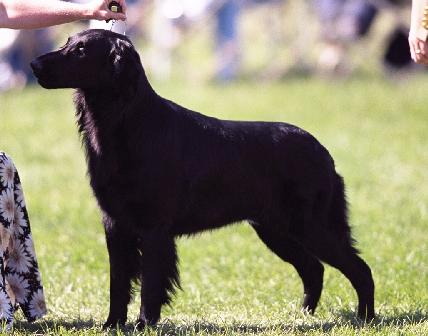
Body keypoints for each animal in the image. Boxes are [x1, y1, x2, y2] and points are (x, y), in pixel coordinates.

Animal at [31, 28, 374, 328]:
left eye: (81, 50)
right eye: (67, 42)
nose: (34, 65)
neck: (129, 124)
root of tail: (324, 153)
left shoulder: (154, 228)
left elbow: (150, 285)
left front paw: (143, 324)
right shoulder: (115, 224)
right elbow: (119, 283)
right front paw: (112, 325)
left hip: (309, 225)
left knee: (360, 269)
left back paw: (366, 319)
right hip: (276, 230)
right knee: (314, 268)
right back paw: (303, 315)